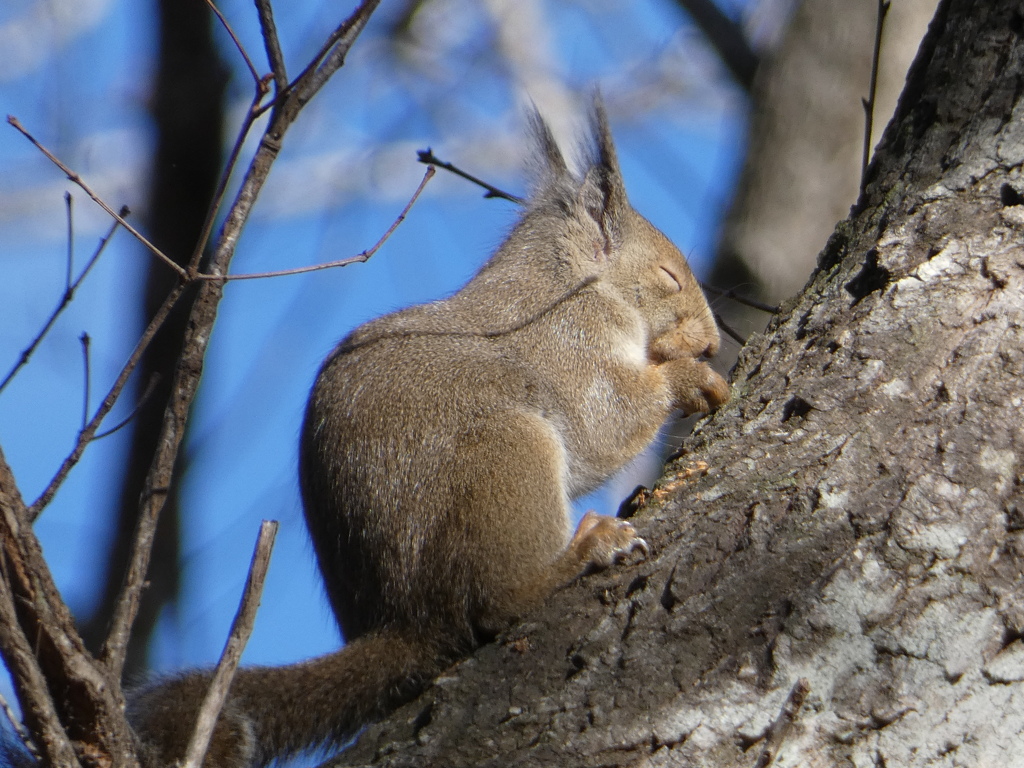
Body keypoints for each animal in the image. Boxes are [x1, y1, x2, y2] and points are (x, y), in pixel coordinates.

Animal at [128, 102, 729, 768]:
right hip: (506, 456)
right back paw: (584, 550)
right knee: (496, 603)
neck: (568, 284)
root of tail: (408, 621)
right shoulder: (569, 344)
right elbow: (605, 420)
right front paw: (692, 378)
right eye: (669, 275)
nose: (713, 342)